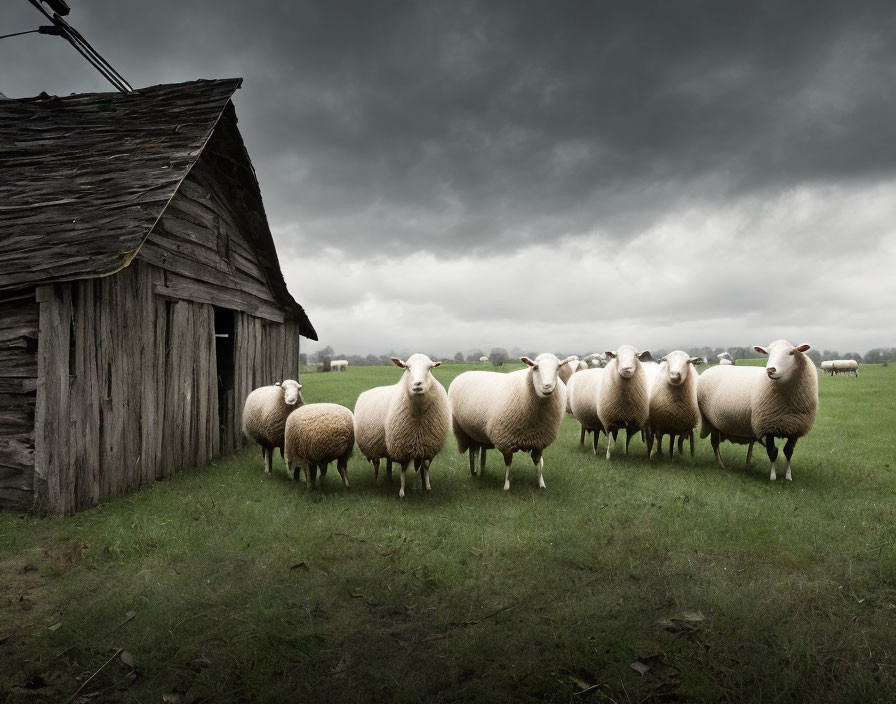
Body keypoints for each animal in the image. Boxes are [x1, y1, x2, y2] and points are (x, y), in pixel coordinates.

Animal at [384, 354, 452, 498]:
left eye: (430, 368)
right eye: (407, 367)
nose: (417, 384)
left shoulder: (428, 446)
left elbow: (424, 466)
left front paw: (426, 487)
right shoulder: (403, 447)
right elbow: (404, 469)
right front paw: (402, 491)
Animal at [448, 350, 576, 490]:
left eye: (558, 367)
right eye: (535, 367)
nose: (547, 386)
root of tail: (465, 373)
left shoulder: (539, 440)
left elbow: (538, 463)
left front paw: (541, 484)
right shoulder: (505, 440)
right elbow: (508, 463)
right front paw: (506, 486)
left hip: (478, 432)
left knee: (480, 450)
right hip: (466, 431)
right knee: (473, 451)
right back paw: (475, 470)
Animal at [700, 340, 820, 482]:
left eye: (791, 353)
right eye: (768, 353)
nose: (771, 370)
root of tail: (713, 368)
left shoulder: (795, 428)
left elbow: (788, 452)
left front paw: (788, 476)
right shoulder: (768, 426)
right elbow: (773, 451)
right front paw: (773, 476)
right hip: (710, 420)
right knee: (715, 443)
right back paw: (721, 464)